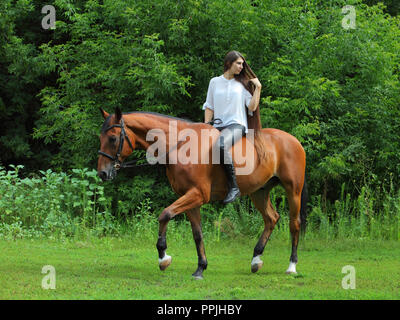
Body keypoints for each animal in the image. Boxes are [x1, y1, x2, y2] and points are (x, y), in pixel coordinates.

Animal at [97, 107, 306, 278]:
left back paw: (292, 266)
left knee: (294, 224)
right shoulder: (189, 198)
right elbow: (197, 234)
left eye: (113, 138)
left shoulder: (197, 194)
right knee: (271, 218)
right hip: (259, 192)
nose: (103, 173)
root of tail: (293, 140)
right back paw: (256, 260)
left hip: (293, 190)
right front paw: (200, 268)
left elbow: (165, 214)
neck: (181, 145)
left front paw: (163, 258)